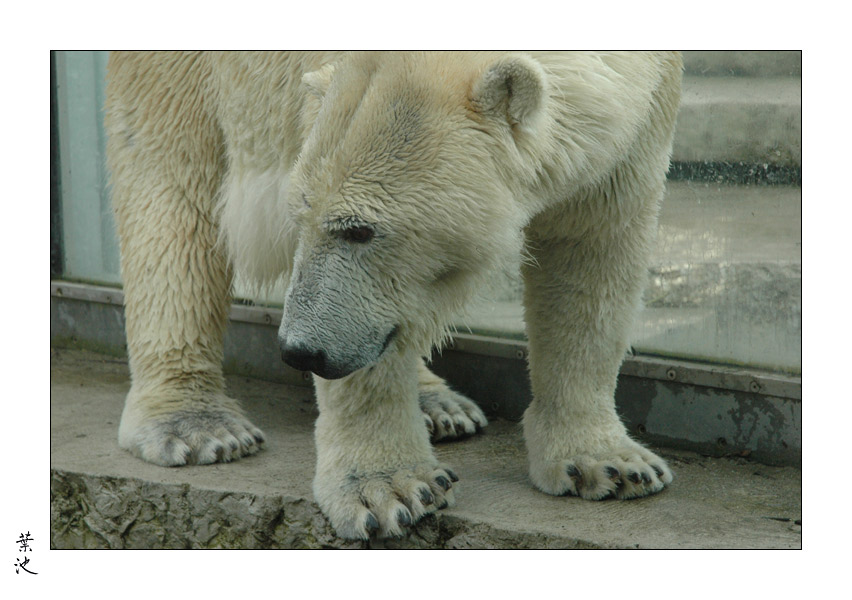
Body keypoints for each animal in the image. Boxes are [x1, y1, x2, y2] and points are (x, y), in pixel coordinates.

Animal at [105, 51, 680, 540]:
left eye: (360, 230)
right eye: (302, 214)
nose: (301, 352)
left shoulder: (638, 112)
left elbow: (593, 256)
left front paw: (611, 463)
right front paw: (391, 489)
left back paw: (440, 404)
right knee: (170, 188)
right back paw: (199, 426)